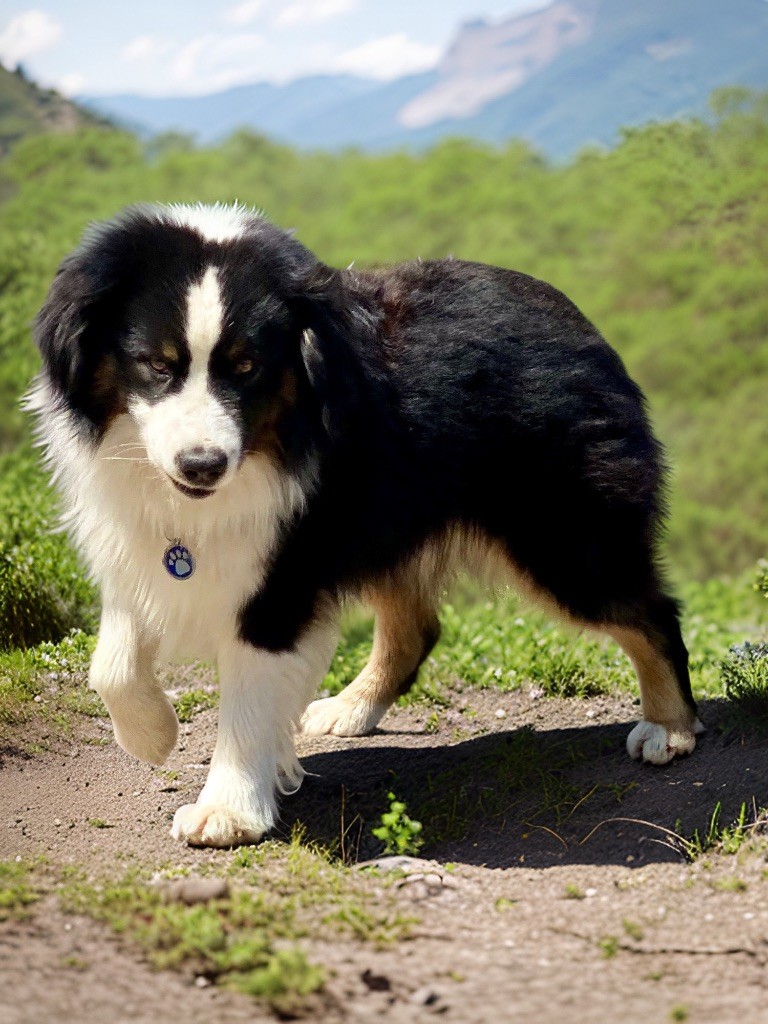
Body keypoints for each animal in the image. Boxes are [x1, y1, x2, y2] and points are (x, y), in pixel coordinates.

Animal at [30, 201, 704, 847]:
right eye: (155, 363)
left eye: (247, 367)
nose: (202, 465)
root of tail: (575, 316)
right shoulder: (139, 538)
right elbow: (113, 661)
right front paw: (153, 735)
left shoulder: (287, 563)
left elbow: (248, 692)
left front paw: (227, 812)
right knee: (416, 627)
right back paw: (350, 708)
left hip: (555, 531)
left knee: (649, 610)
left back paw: (669, 729)